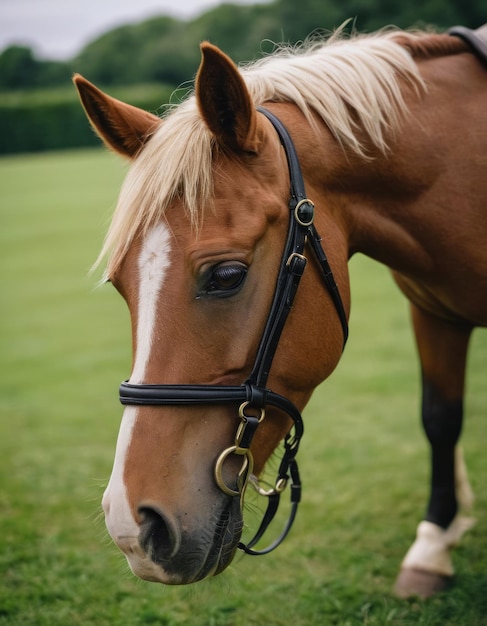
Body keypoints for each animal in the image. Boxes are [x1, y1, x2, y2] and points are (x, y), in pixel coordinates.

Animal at [74, 24, 486, 596]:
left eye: (227, 275)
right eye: (120, 285)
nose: (133, 527)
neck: (467, 173)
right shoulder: (434, 314)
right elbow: (440, 418)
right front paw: (434, 546)